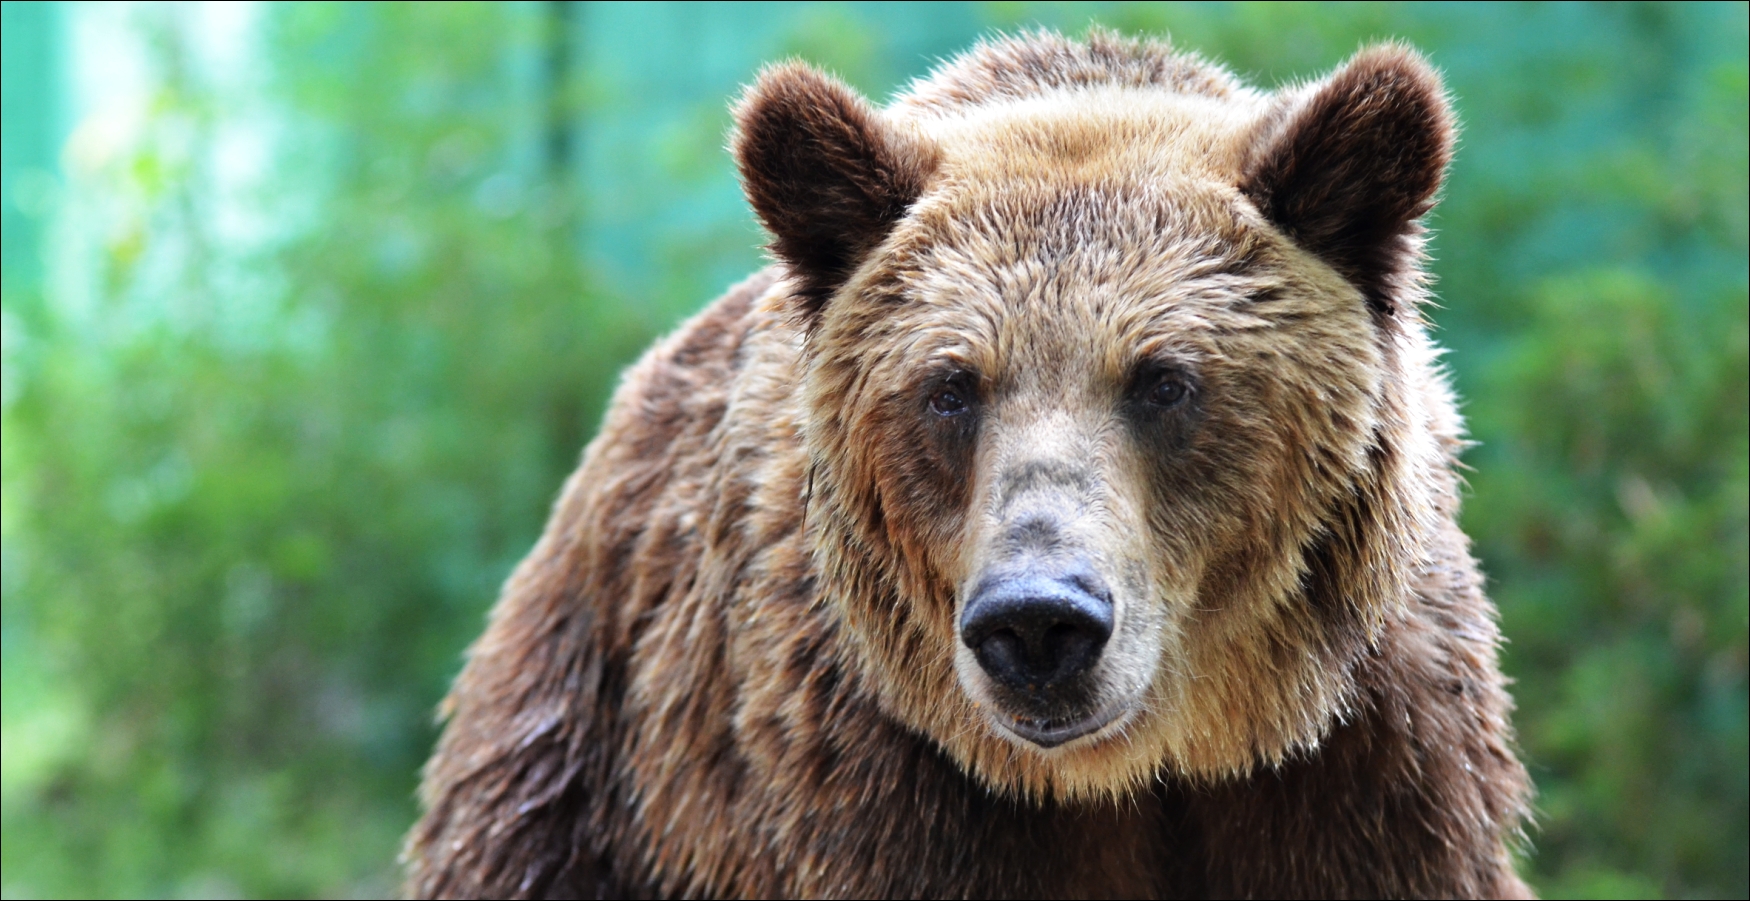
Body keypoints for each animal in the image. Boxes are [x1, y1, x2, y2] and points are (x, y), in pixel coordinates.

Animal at [406, 29, 1533, 901]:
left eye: (1165, 381)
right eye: (950, 387)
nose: (1038, 621)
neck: (1146, 767)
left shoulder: (1367, 771)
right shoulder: (887, 780)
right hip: (581, 763)